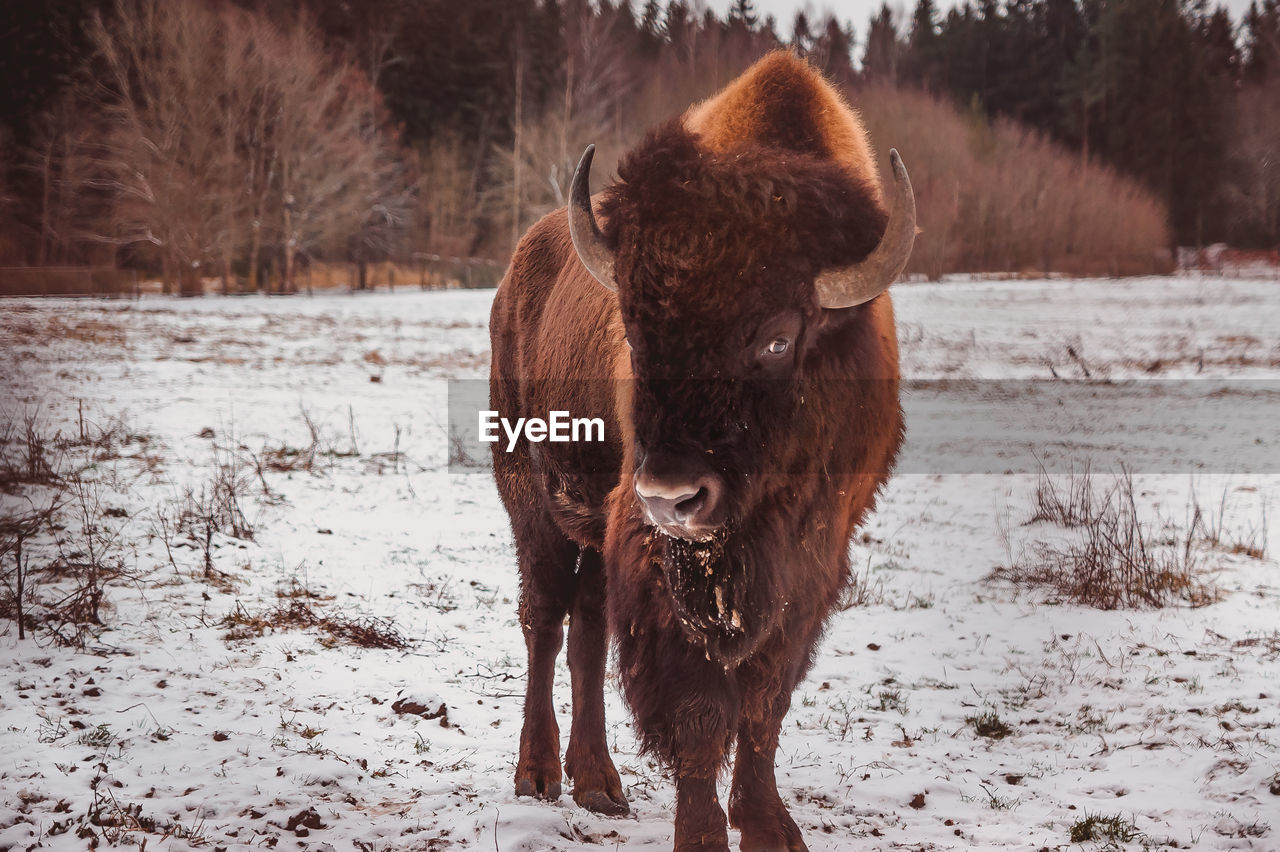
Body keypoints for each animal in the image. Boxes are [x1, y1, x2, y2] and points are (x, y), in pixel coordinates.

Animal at [483, 49, 916, 844]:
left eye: (777, 338)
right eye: (634, 331)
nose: (672, 496)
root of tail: (516, 273)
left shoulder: (812, 560)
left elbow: (765, 697)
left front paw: (769, 824)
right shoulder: (657, 561)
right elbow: (701, 705)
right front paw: (705, 832)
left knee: (587, 629)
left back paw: (599, 783)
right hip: (531, 500)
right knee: (546, 622)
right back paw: (538, 775)